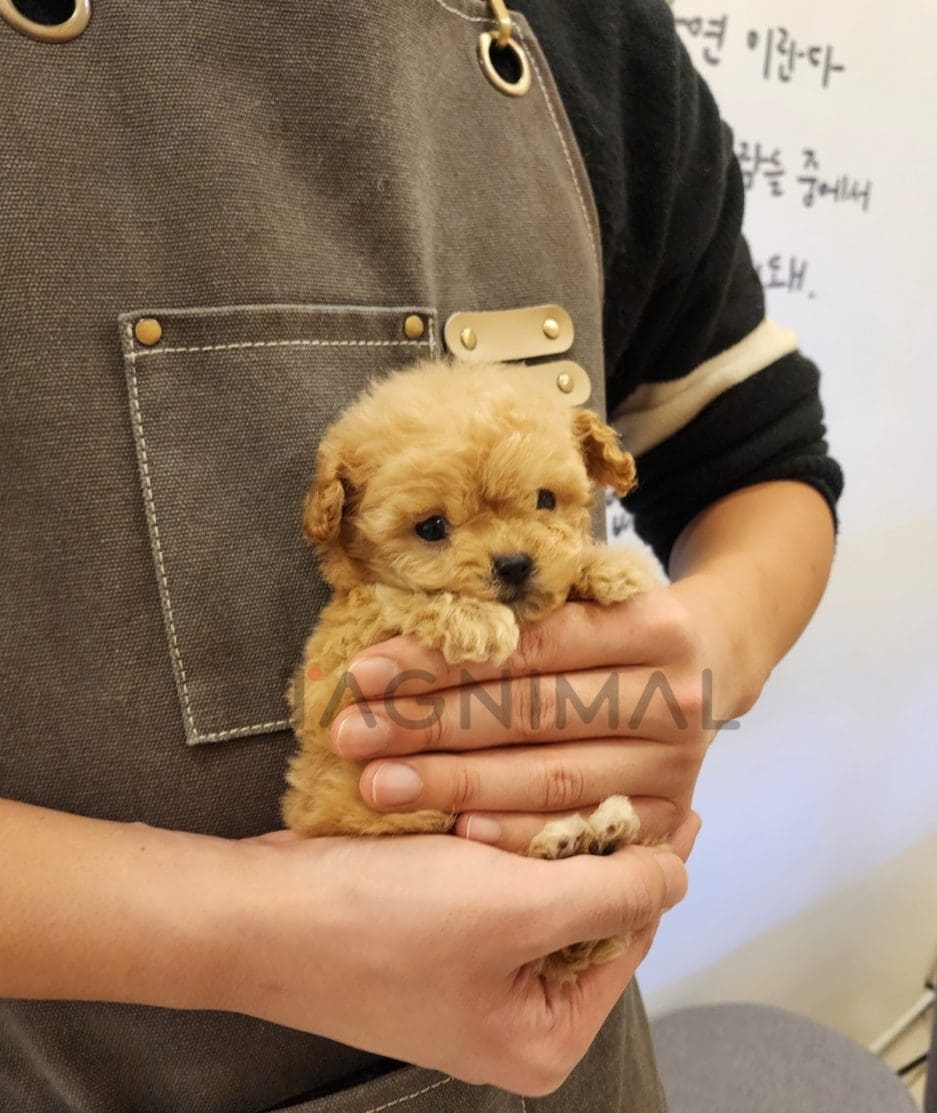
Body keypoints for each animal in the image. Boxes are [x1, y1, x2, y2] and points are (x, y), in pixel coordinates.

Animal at [282, 358, 655, 979]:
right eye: (432, 528)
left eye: (545, 500)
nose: (515, 565)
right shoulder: (336, 665)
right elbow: (393, 598)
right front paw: (476, 621)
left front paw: (608, 567)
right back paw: (575, 839)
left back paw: (598, 833)